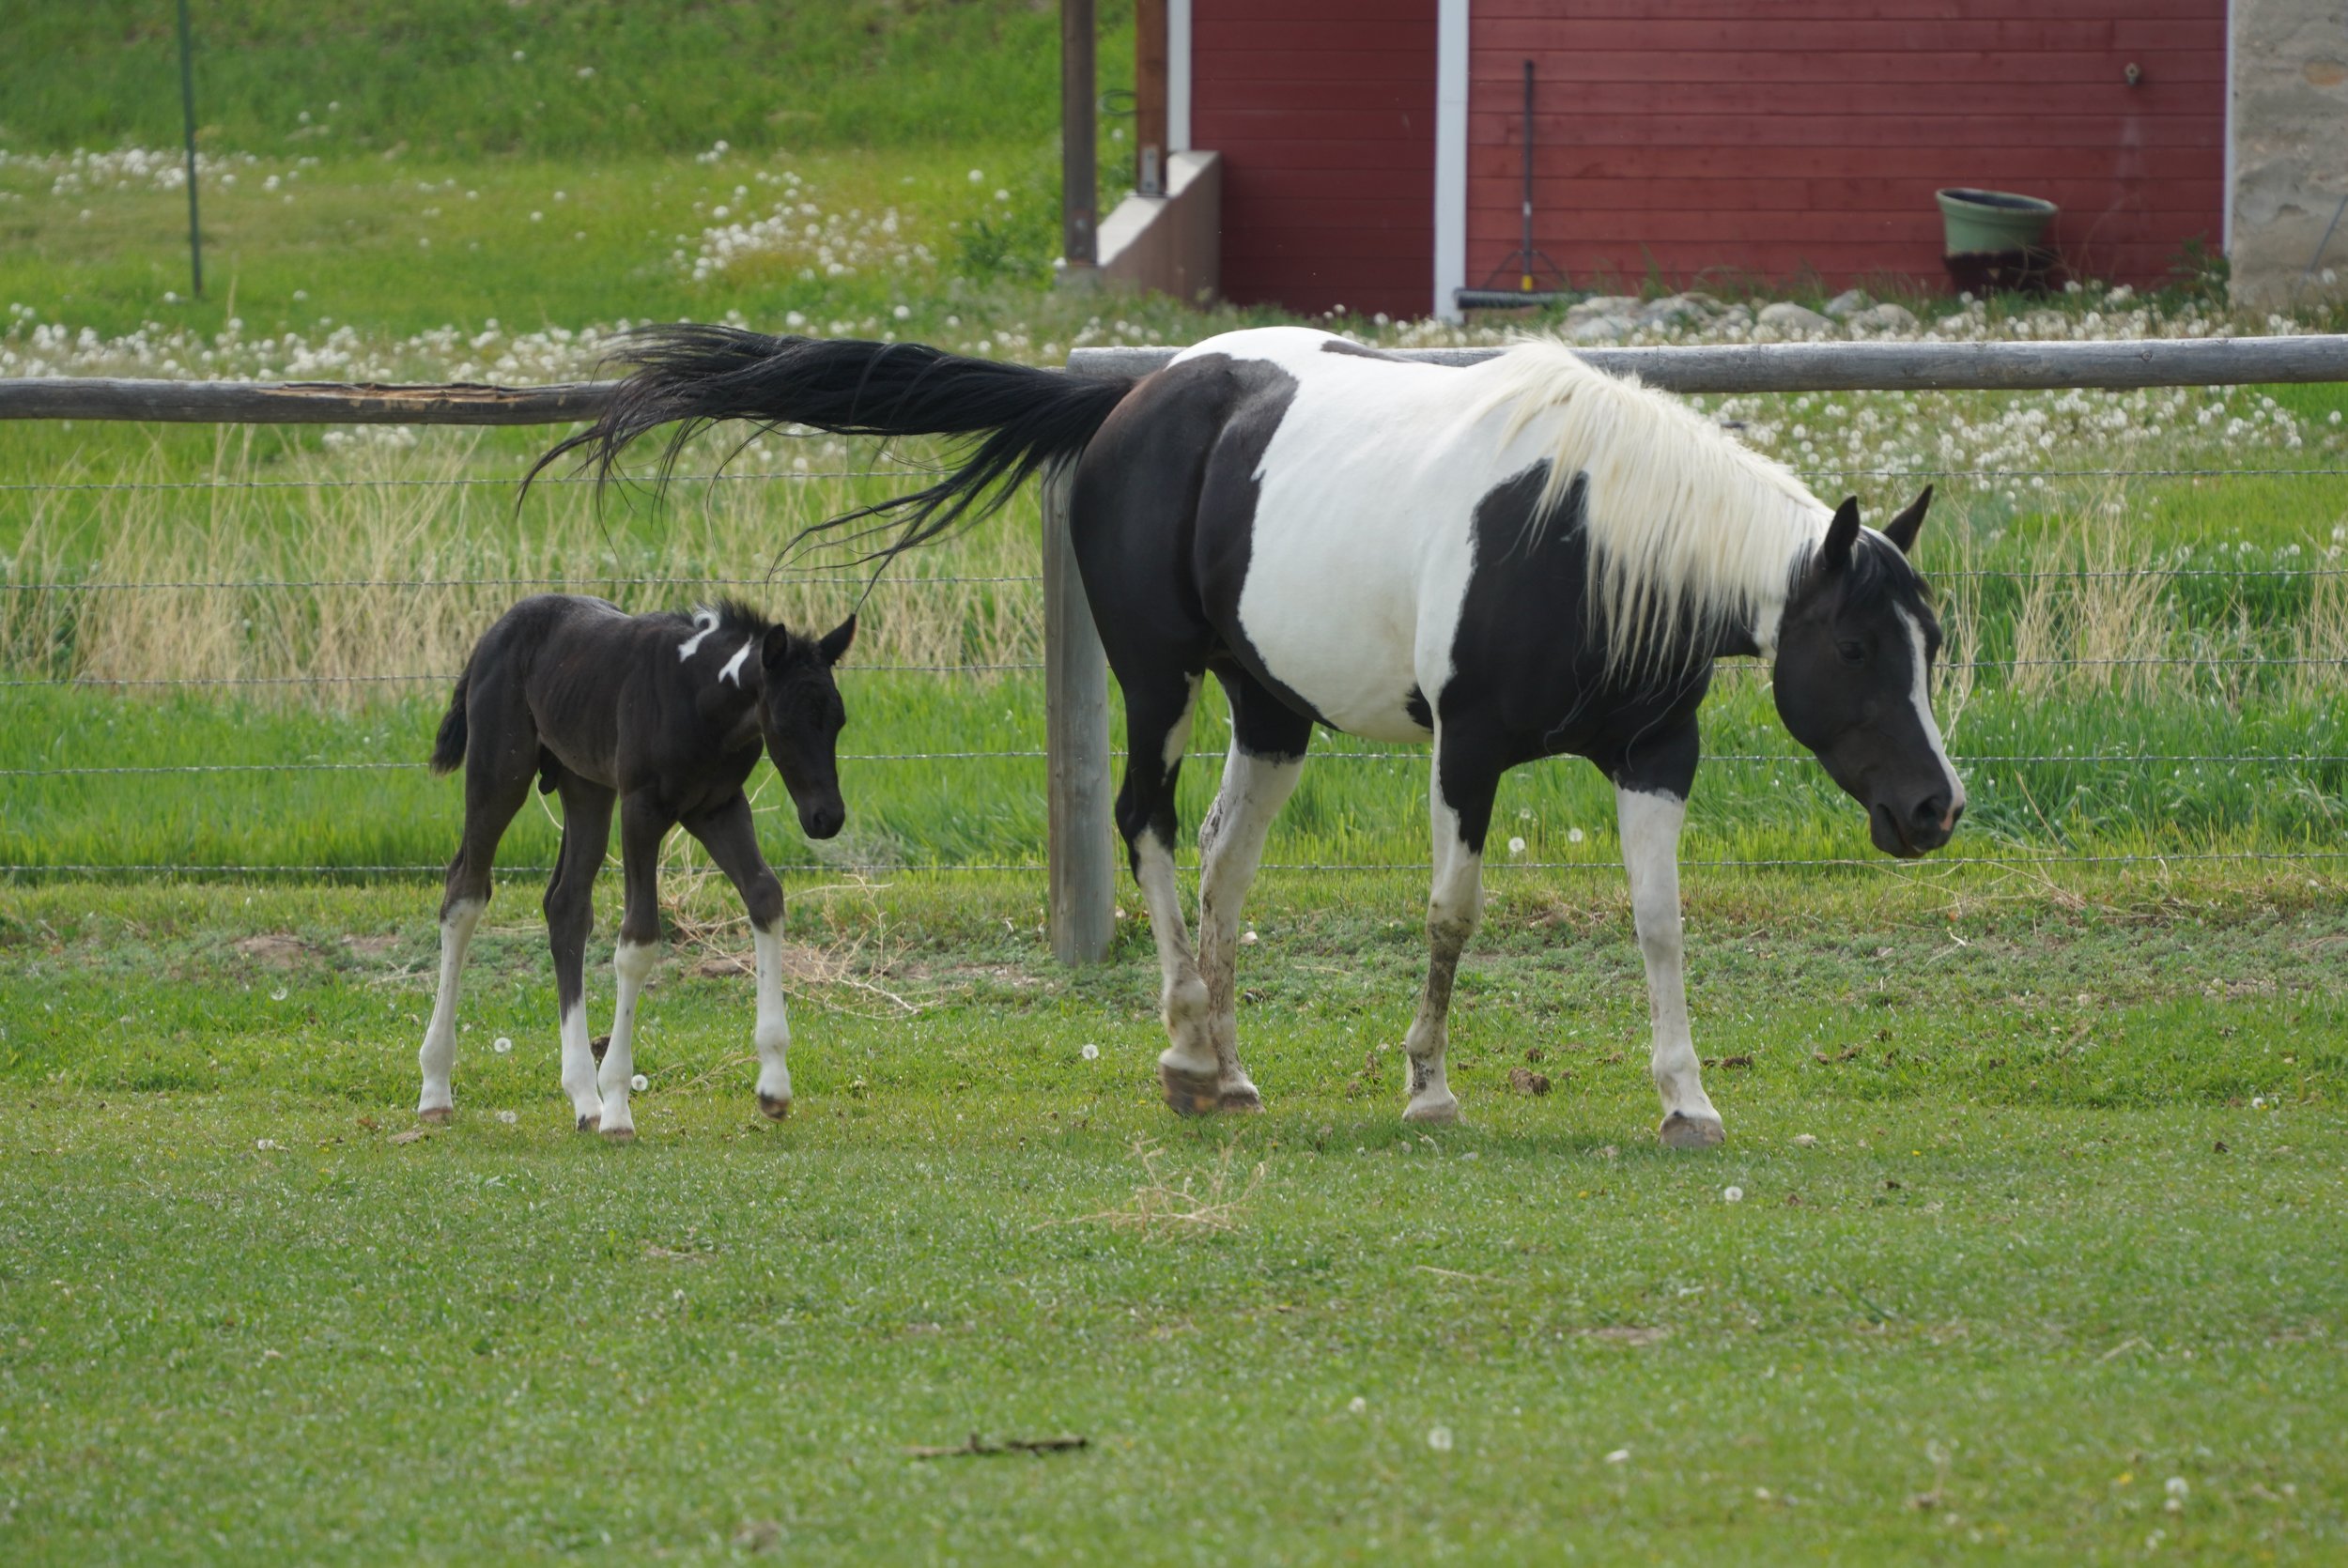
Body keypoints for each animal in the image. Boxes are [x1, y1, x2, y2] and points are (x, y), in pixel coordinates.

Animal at [416, 593, 855, 1139]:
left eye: (838, 721)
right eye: (785, 723)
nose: (827, 817)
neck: (699, 695)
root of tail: (492, 634)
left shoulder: (718, 807)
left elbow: (766, 895)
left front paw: (773, 1085)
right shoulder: (641, 810)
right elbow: (639, 938)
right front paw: (620, 1106)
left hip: (585, 785)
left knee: (567, 906)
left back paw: (584, 1099)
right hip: (501, 770)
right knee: (465, 891)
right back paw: (436, 1086)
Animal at [542, 324, 1962, 1148]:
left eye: (1932, 641)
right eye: (1853, 648)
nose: (1932, 808)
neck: (1583, 532)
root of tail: (1130, 397)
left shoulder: (1656, 757)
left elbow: (1661, 924)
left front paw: (1686, 1095)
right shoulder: (1467, 750)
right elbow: (1451, 913)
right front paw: (1428, 1082)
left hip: (1272, 709)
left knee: (1225, 858)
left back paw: (1222, 1066)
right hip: (1162, 683)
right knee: (1151, 829)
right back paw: (1182, 1043)